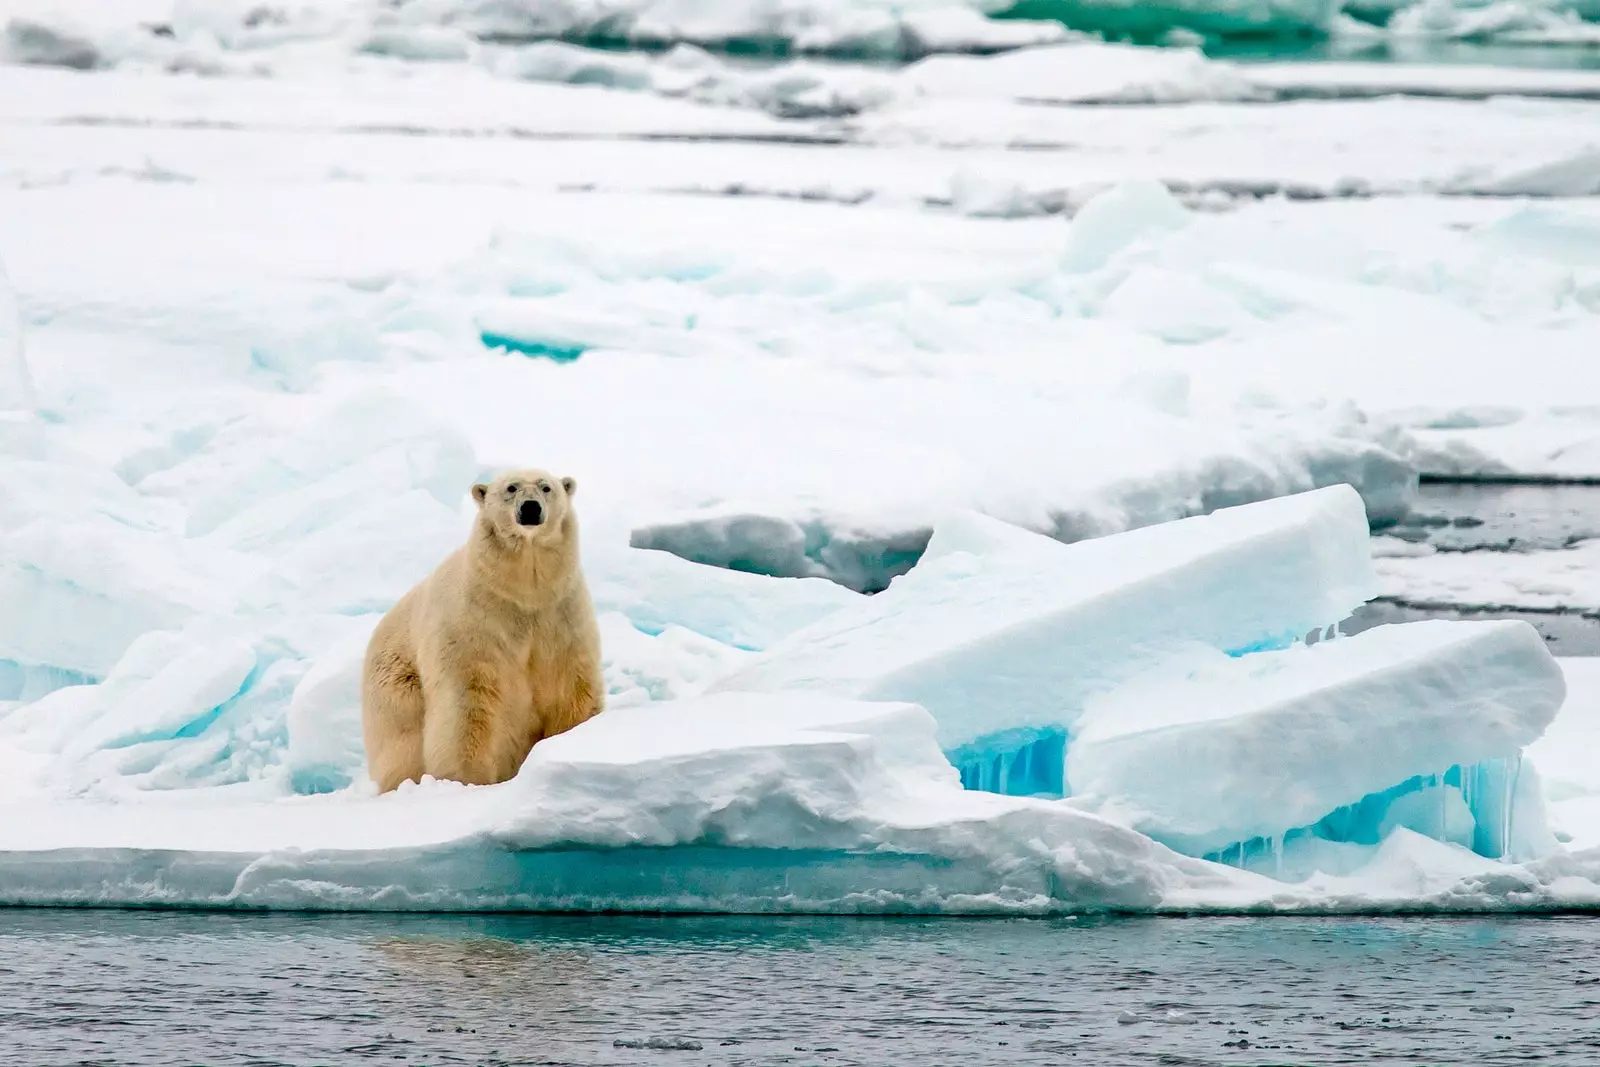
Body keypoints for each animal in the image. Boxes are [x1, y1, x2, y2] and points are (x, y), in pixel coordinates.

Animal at [363, 467, 604, 793]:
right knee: (403, 743)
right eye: (511, 488)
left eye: (546, 487)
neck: (523, 593)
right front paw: (467, 779)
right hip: (398, 684)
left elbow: (569, 687)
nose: (530, 508)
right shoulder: (474, 623)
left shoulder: (560, 617)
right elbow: (468, 703)